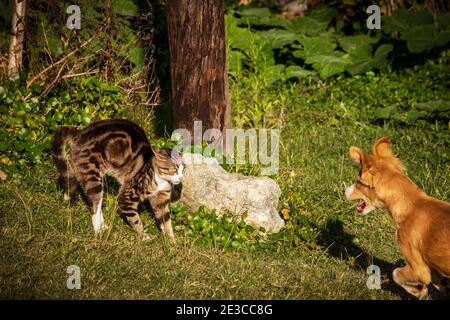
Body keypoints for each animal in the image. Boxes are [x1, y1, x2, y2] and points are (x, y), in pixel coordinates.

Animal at [49, 120, 183, 240]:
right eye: (174, 170)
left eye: (183, 169)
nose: (181, 178)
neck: (160, 179)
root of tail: (80, 133)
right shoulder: (127, 196)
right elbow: (135, 220)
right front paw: (144, 236)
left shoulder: (161, 199)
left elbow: (166, 220)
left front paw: (171, 242)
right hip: (93, 177)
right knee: (94, 207)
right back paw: (98, 232)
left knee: (98, 204)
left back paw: (104, 227)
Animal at [344, 138, 450, 300]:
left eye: (358, 182)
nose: (344, 191)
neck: (412, 205)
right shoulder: (430, 265)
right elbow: (437, 279)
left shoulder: (419, 268)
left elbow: (396, 274)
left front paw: (418, 290)